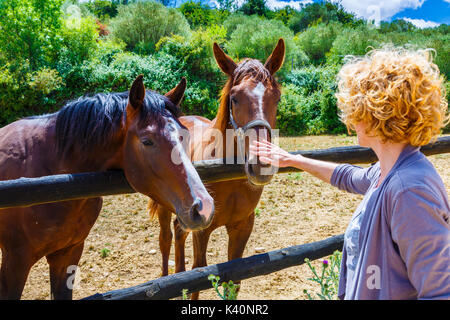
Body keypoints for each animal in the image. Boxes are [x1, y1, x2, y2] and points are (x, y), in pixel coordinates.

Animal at [149, 39, 286, 298]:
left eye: (277, 98)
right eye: (234, 98)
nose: (261, 164)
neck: (228, 177)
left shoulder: (242, 226)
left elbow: (234, 279)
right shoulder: (203, 230)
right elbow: (199, 273)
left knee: (178, 233)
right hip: (164, 208)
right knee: (165, 239)